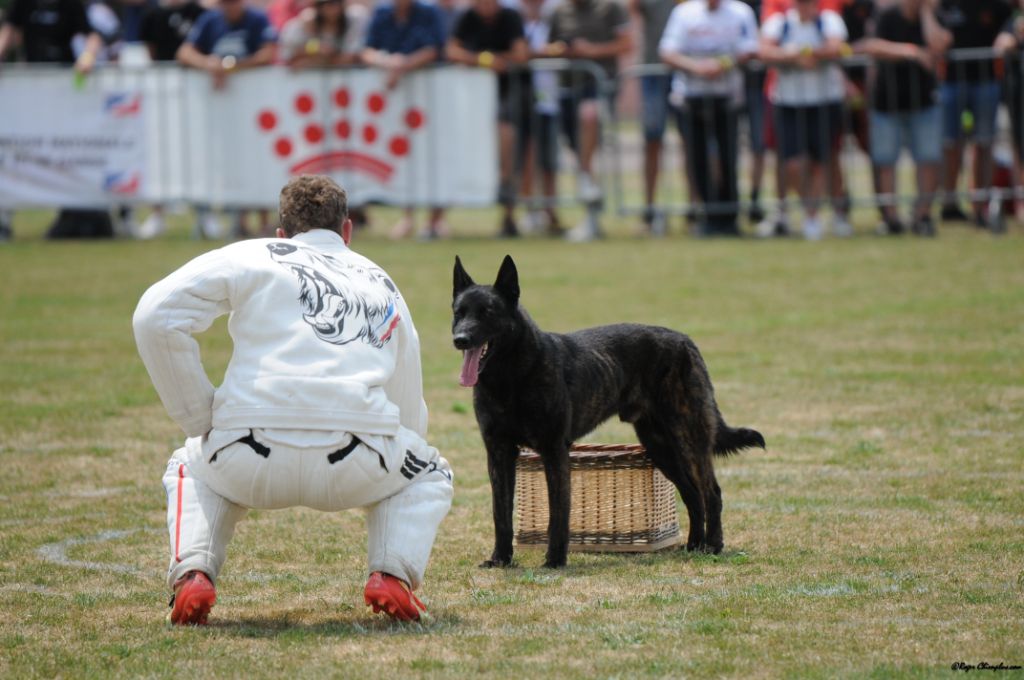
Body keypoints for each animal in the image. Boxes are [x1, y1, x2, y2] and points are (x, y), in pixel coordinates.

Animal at [452, 255, 765, 569]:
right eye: (458, 312)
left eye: (487, 312)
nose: (460, 339)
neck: (509, 377)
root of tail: (686, 341)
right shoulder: (499, 453)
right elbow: (500, 513)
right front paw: (500, 559)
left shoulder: (554, 451)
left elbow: (558, 513)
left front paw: (555, 560)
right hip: (661, 447)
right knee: (692, 495)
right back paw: (694, 546)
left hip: (689, 439)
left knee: (711, 493)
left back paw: (713, 545)